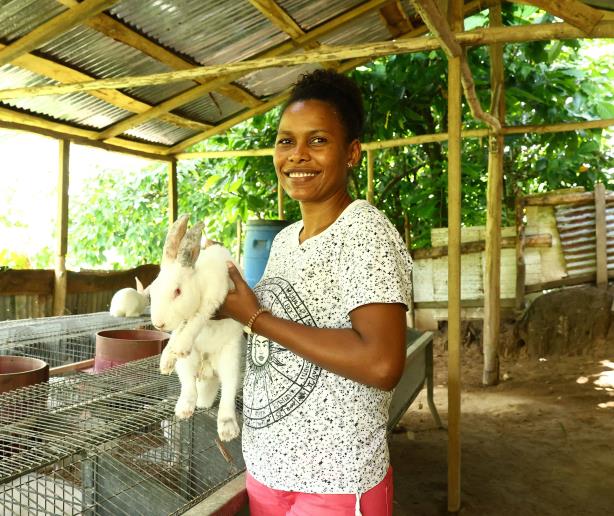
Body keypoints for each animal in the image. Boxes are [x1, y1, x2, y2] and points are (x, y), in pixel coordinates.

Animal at [148, 216, 244, 442]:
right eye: (153, 289)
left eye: (177, 291)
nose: (158, 324)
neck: (199, 283)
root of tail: (208, 370)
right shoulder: (182, 322)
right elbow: (179, 330)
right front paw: (167, 358)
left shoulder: (212, 299)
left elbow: (195, 320)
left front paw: (181, 346)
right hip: (188, 365)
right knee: (189, 386)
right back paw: (185, 409)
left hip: (230, 362)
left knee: (228, 393)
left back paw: (227, 429)